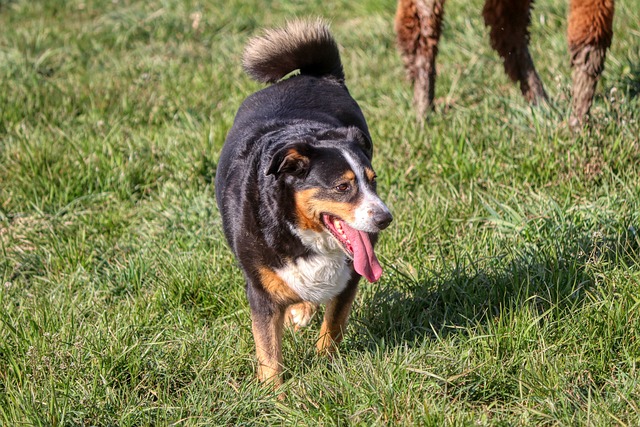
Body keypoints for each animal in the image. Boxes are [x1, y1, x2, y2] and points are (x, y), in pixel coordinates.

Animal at [218, 20, 392, 386]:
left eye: (372, 180)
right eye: (342, 187)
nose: (385, 219)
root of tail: (313, 75)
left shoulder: (350, 277)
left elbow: (334, 325)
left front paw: (326, 364)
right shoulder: (261, 292)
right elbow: (268, 352)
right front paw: (273, 394)